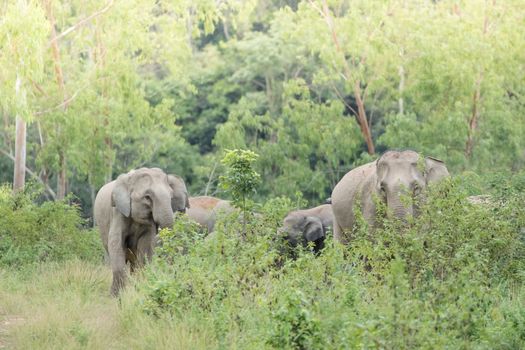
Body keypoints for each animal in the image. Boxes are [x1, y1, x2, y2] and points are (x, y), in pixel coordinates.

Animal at [93, 167, 188, 296]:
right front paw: (116, 296)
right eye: (147, 197)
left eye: (171, 195)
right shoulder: (117, 212)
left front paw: (139, 289)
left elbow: (146, 245)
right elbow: (115, 243)